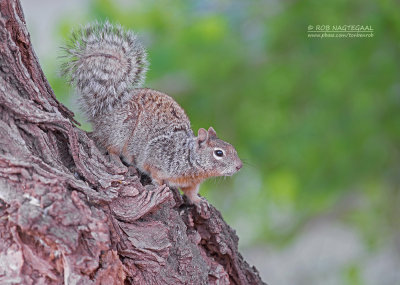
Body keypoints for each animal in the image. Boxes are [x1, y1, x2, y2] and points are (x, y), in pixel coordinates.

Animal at [61, 22, 242, 204]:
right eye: (219, 153)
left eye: (233, 147)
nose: (239, 166)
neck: (190, 160)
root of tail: (103, 113)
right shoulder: (157, 159)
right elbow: (156, 176)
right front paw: (159, 188)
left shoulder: (191, 184)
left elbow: (190, 193)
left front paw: (198, 201)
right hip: (122, 129)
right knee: (111, 147)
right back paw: (118, 161)